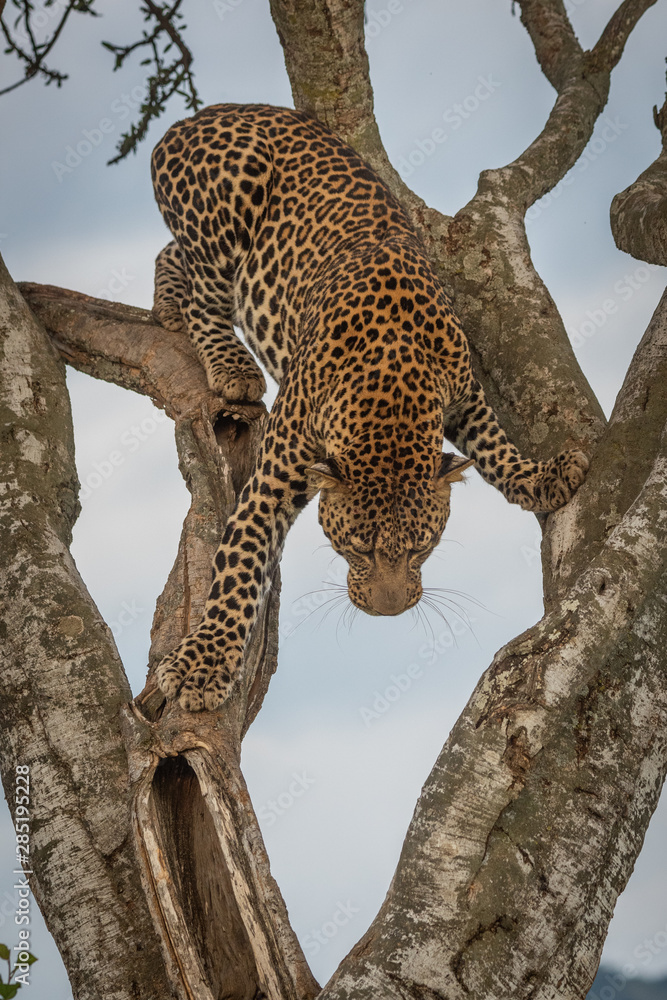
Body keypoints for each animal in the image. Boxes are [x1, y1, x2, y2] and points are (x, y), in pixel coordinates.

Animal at [151, 103, 588, 712]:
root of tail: (200, 114)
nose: (390, 612)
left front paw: (543, 476)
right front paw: (203, 665)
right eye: (355, 545)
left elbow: (495, 446)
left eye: (424, 546)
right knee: (203, 294)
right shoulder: (272, 478)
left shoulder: (464, 393)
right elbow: (240, 564)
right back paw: (230, 364)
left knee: (172, 253)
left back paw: (166, 302)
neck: (392, 398)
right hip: (226, 218)